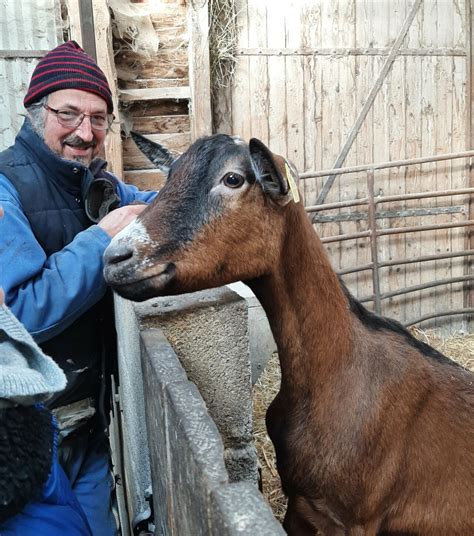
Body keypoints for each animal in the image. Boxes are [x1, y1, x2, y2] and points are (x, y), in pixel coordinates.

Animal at [104, 135, 474, 536]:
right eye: (170, 175)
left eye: (233, 179)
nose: (115, 257)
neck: (339, 372)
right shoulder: (299, 502)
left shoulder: (354, 520)